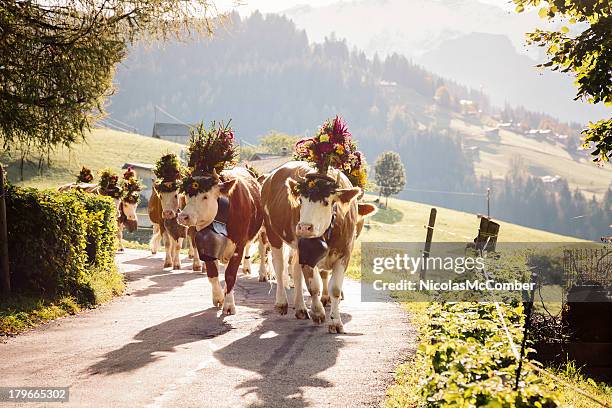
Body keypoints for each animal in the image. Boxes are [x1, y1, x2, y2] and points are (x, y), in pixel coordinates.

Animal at [176, 121, 264, 316]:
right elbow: (212, 273)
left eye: (205, 196)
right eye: (187, 193)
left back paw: (250, 268)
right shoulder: (206, 244)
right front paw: (218, 297)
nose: (183, 216)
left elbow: (230, 275)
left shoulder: (239, 244)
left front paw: (229, 305)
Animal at [262, 115, 378, 332]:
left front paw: (336, 321)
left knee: (295, 271)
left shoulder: (345, 253)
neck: (328, 231)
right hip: (274, 235)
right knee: (280, 267)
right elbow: (313, 285)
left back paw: (300, 308)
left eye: (326, 202)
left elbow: (334, 288)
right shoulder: (307, 252)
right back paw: (282, 303)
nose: (304, 227)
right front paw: (317, 312)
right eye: (301, 200)